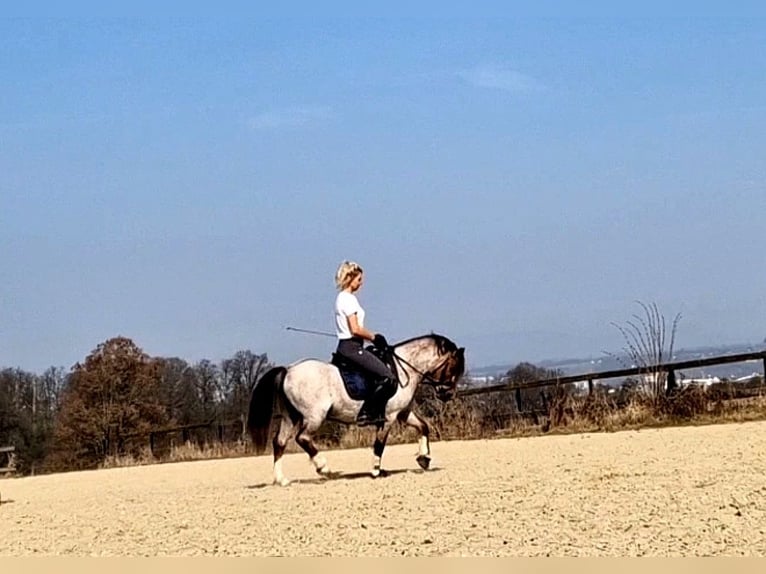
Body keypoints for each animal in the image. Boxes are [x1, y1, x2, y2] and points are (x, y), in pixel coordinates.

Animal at [246, 333, 465, 485]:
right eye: (453, 367)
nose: (447, 394)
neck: (404, 370)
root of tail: (288, 370)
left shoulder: (403, 413)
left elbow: (424, 427)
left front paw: (424, 459)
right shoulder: (388, 417)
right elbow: (379, 445)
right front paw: (376, 471)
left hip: (290, 416)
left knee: (280, 442)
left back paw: (281, 480)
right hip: (314, 416)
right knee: (303, 438)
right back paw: (324, 468)